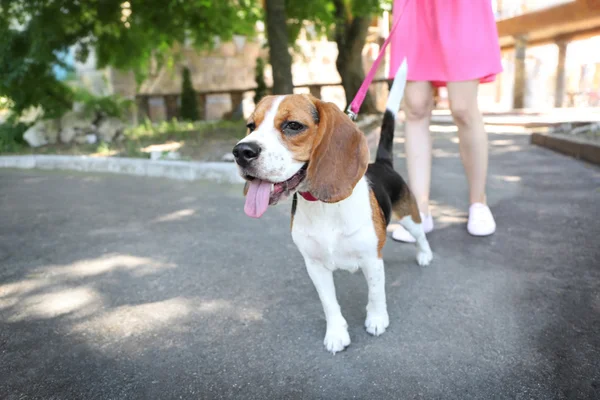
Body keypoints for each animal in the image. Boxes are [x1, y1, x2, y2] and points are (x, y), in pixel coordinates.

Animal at [232, 72, 434, 354]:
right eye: (251, 125)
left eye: (293, 125)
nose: (241, 151)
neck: (323, 206)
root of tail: (382, 163)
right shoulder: (315, 266)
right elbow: (329, 303)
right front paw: (337, 333)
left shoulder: (372, 259)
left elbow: (376, 293)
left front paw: (376, 320)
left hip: (408, 217)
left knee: (420, 233)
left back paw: (425, 255)